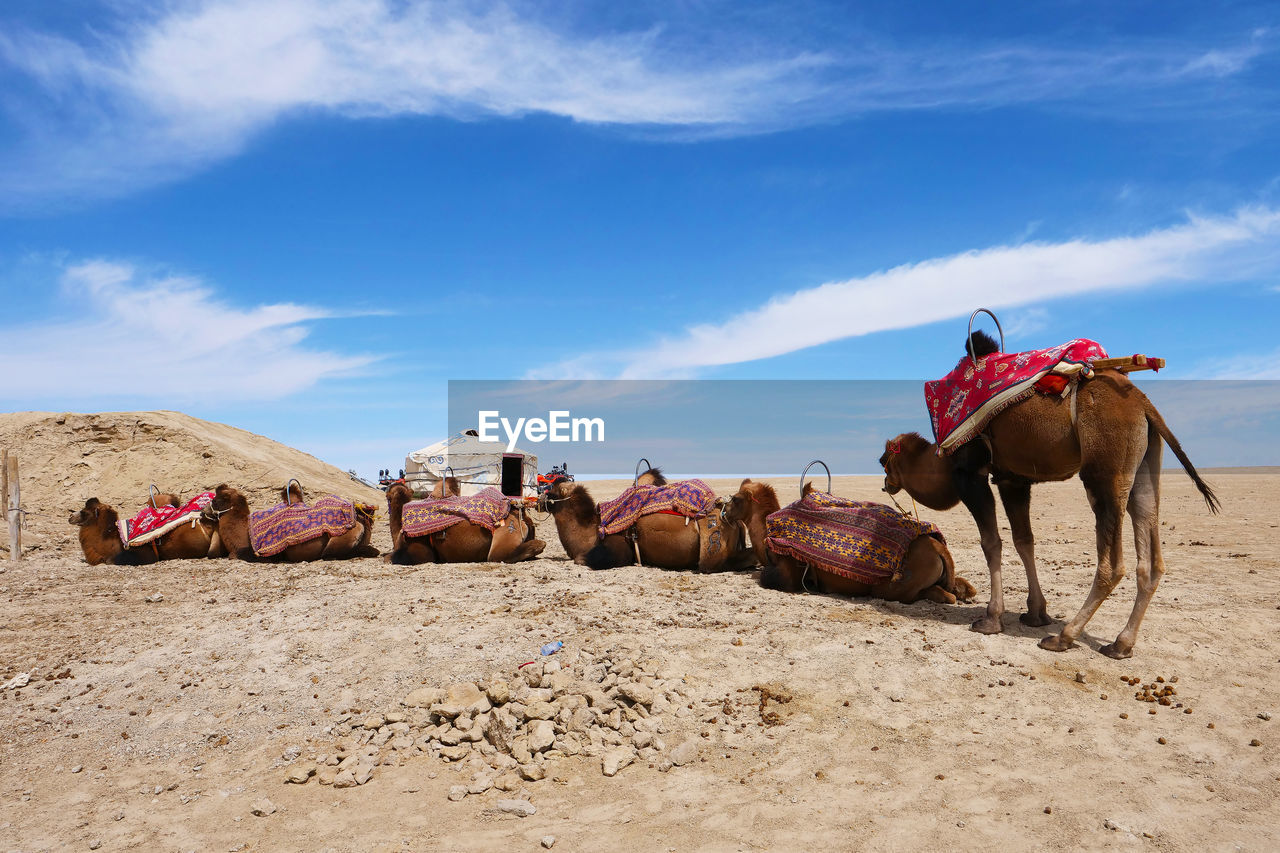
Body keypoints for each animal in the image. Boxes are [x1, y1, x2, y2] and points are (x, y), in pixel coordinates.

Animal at [727, 479, 972, 604]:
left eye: (736, 498)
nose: (724, 510)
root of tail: (939, 547)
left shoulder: (789, 573)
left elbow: (767, 577)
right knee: (961, 587)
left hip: (892, 588)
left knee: (940, 595)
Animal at [880, 325, 1218, 655]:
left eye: (885, 461)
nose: (885, 483)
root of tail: (1144, 403)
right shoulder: (1012, 479)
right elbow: (1024, 541)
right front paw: (1036, 613)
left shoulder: (970, 474)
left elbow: (991, 543)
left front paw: (991, 618)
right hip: (1144, 466)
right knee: (1151, 557)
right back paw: (1120, 644)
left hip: (1104, 471)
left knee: (1112, 563)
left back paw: (1064, 637)